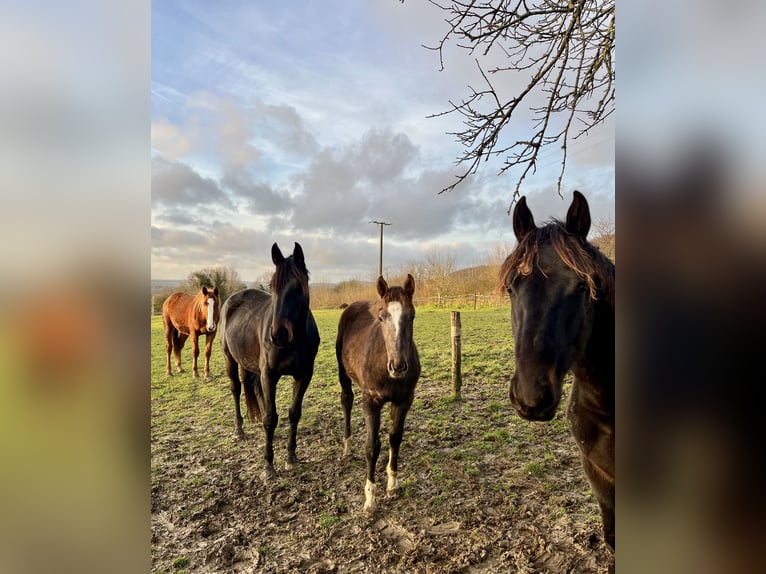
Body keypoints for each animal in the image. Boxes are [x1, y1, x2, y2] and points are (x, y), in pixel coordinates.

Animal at [220, 241, 320, 480]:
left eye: (298, 287)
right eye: (273, 287)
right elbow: (270, 418)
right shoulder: (269, 375)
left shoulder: (304, 375)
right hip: (230, 360)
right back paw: (239, 431)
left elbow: (293, 413)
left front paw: (291, 458)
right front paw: (268, 465)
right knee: (236, 389)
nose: (278, 334)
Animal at [336, 276, 420, 516]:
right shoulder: (371, 402)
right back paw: (347, 448)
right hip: (343, 374)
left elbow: (395, 438)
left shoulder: (403, 401)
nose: (398, 366)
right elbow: (372, 447)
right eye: (381, 317)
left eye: (412, 315)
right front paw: (370, 500)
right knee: (346, 401)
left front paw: (392, 484)